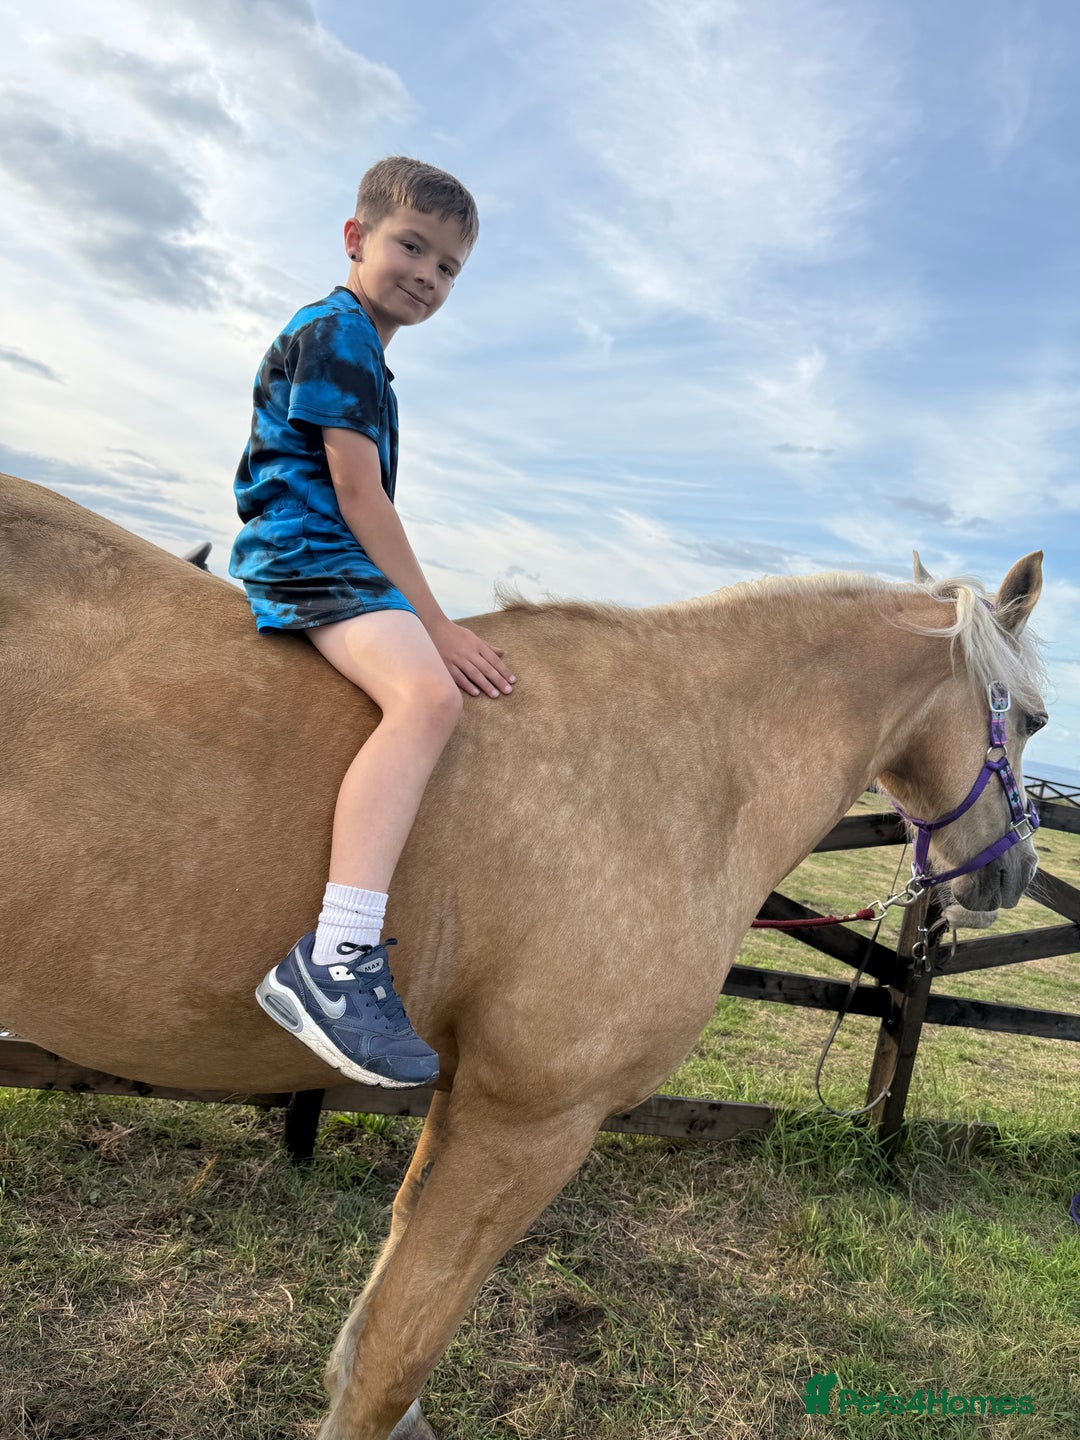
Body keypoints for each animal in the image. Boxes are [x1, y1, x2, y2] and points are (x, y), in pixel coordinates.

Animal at [0, 472, 1046, 1440]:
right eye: (1033, 719)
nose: (1015, 871)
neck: (690, 762)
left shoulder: (463, 1095)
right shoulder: (531, 1119)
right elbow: (394, 1353)